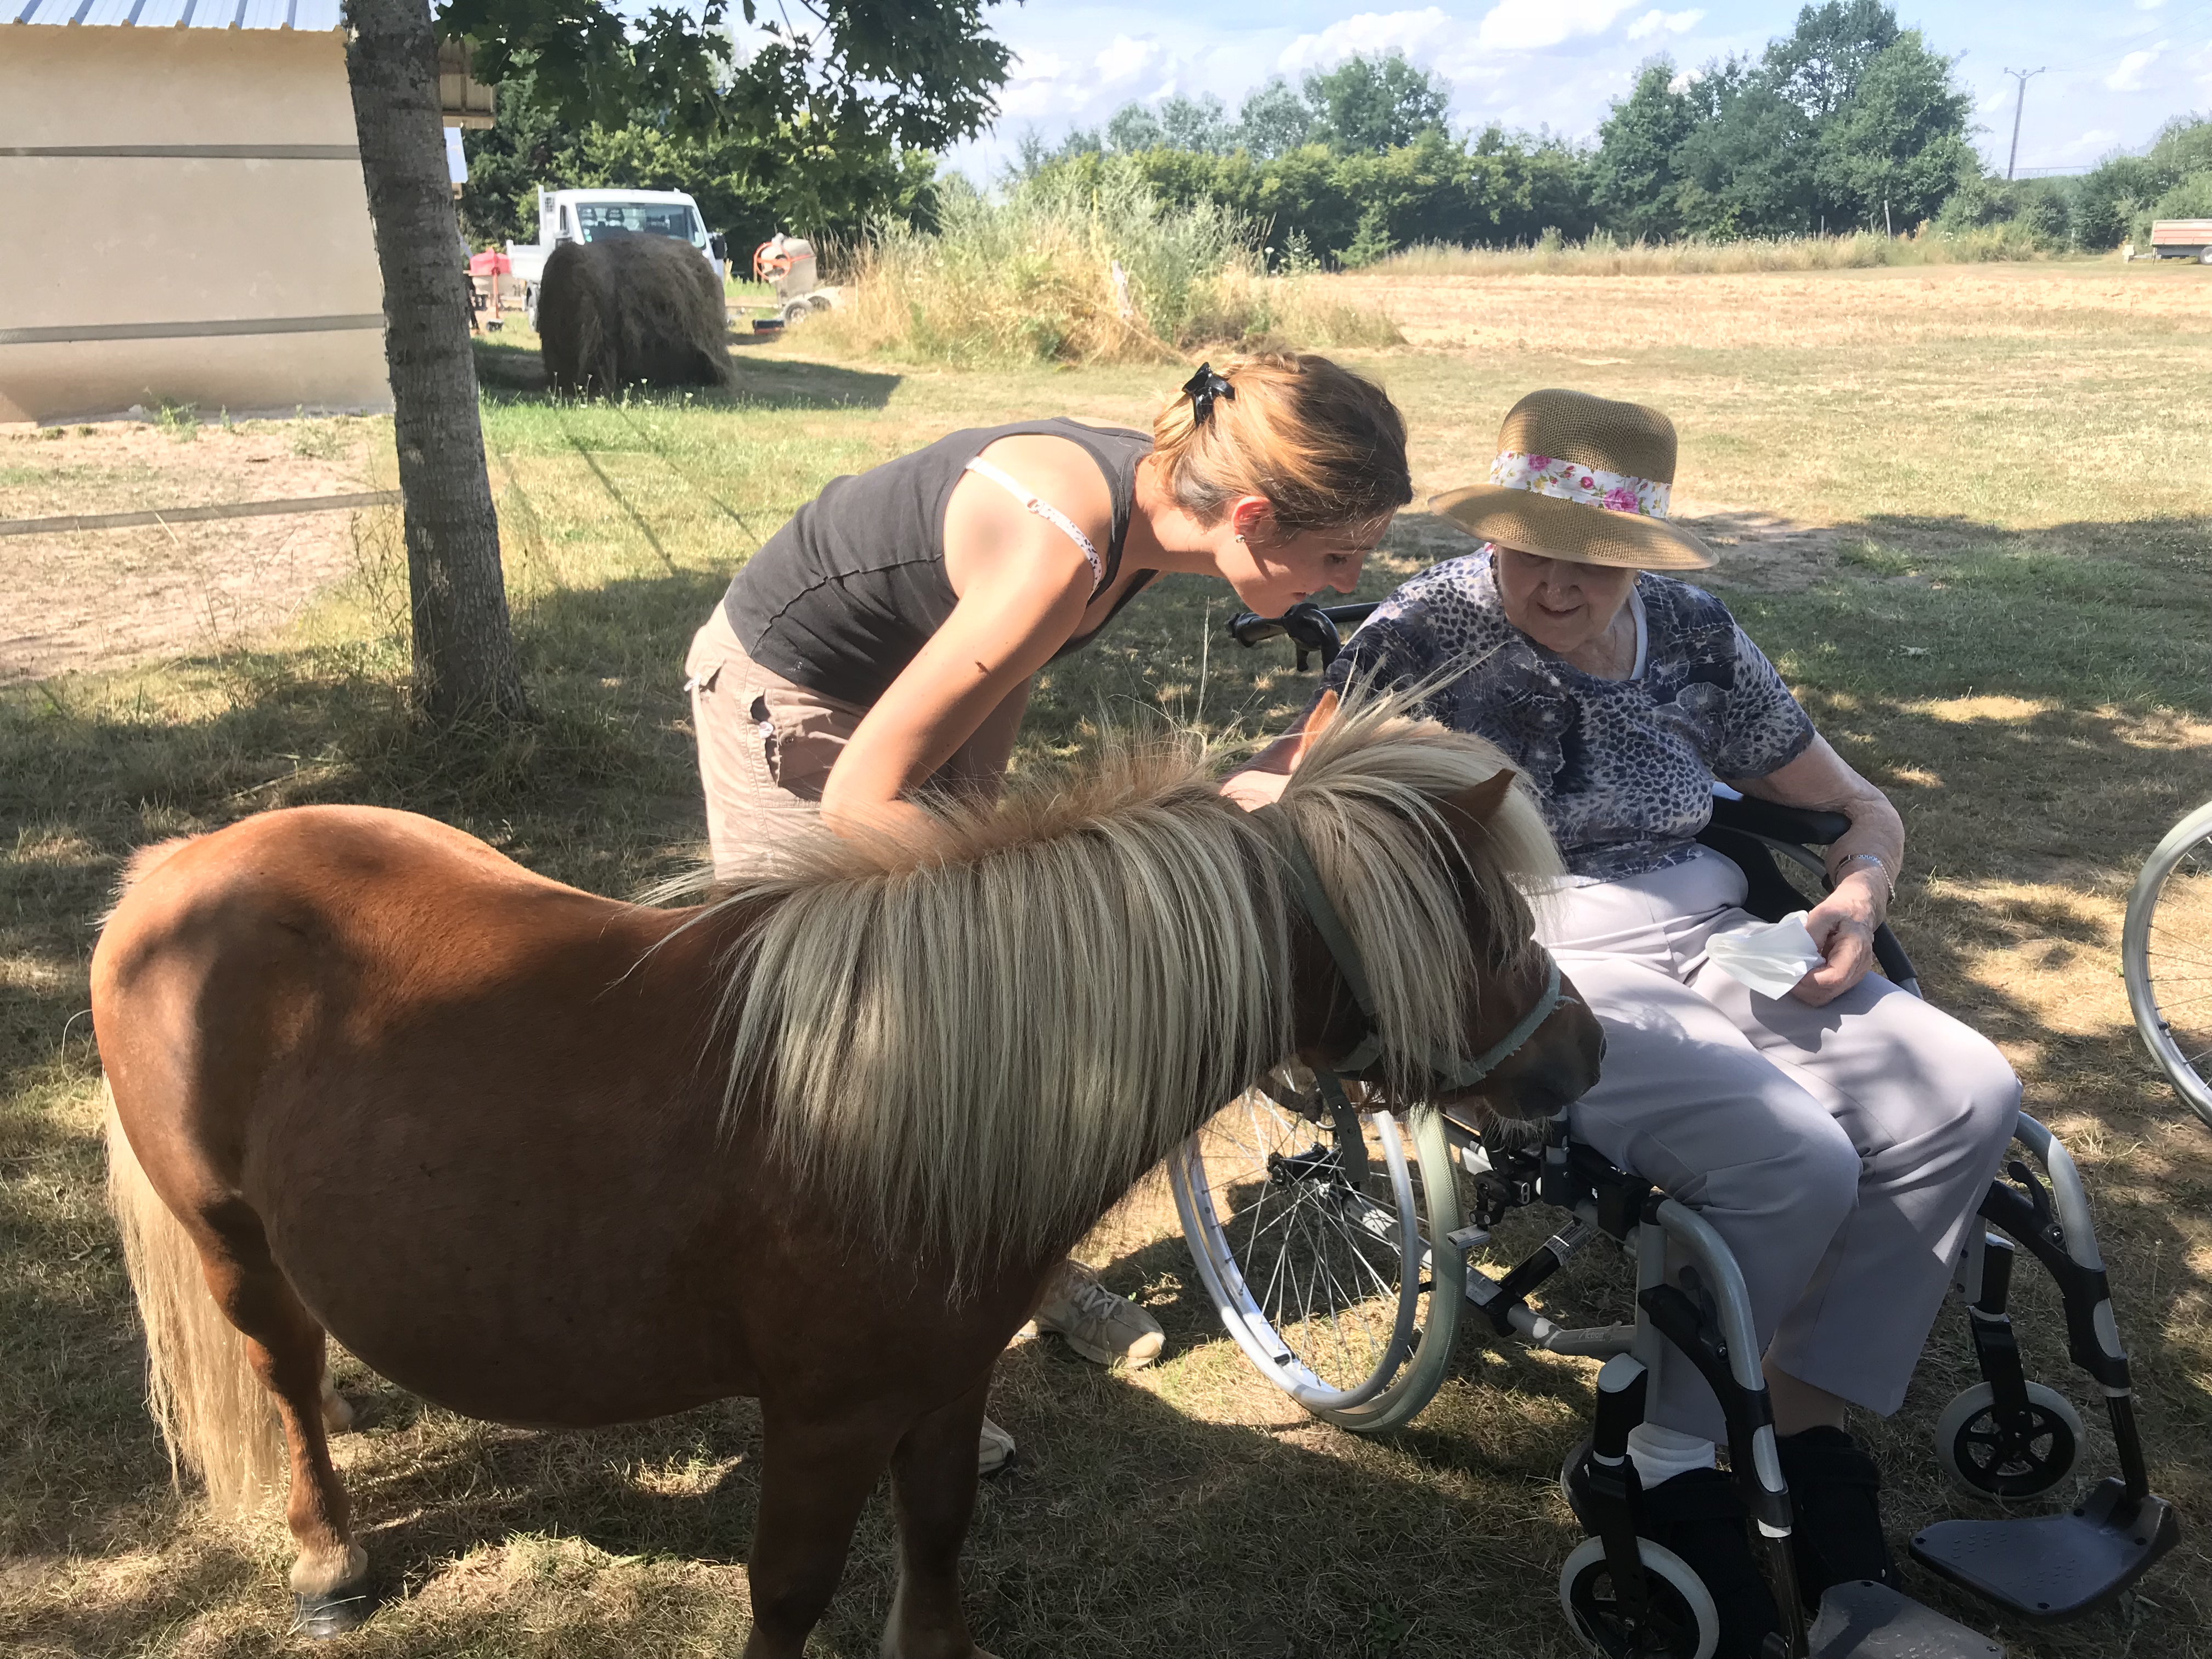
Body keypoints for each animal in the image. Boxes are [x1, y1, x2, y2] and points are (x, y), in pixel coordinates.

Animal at [95, 703, 1601, 1659]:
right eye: (1489, 929)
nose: (1577, 1061)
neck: (897, 1092)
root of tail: (180, 871)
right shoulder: (823, 1419)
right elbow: (789, 1590)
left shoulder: (946, 1381)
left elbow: (937, 1533)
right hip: (230, 1241)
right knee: (284, 1377)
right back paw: (328, 1557)